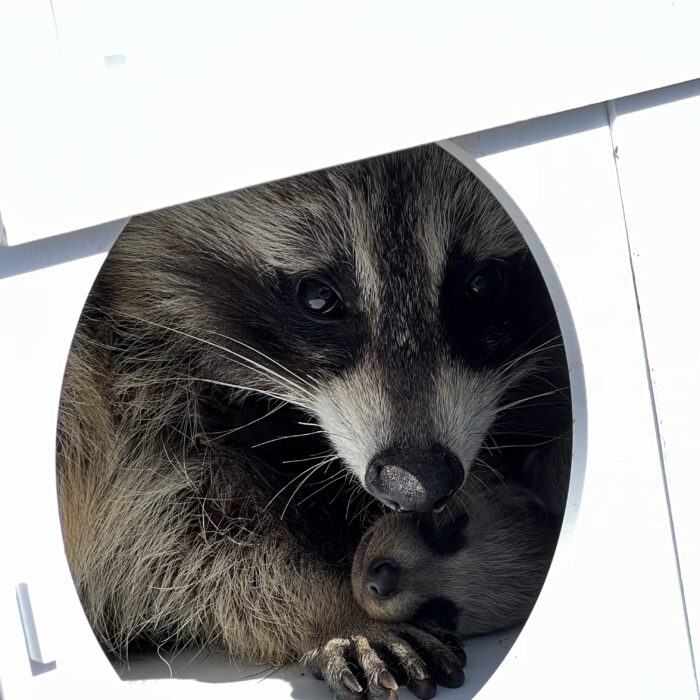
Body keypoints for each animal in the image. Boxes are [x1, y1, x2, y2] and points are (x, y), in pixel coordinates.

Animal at [57, 144, 570, 699]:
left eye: (483, 284)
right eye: (318, 297)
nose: (416, 486)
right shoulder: (117, 359)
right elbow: (160, 517)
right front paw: (329, 608)